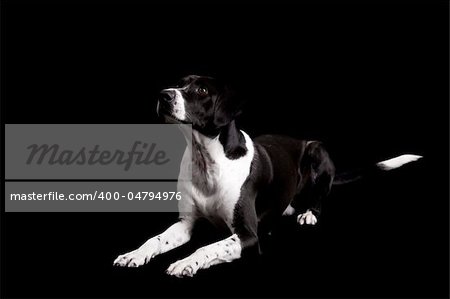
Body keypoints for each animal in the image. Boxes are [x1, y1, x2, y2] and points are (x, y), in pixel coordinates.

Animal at [113, 75, 422, 278]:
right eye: (180, 84)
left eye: (201, 89)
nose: (163, 95)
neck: (206, 159)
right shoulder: (186, 223)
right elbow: (155, 240)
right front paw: (134, 254)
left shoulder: (247, 235)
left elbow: (207, 248)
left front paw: (186, 262)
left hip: (317, 149)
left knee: (319, 196)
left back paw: (308, 213)